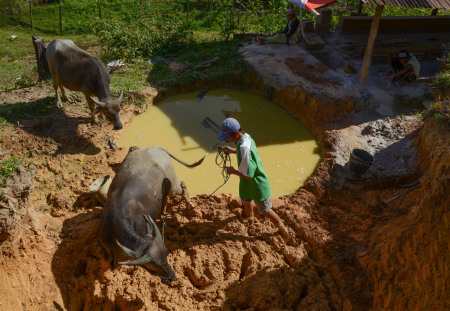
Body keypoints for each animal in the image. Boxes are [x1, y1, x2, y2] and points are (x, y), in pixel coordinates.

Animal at [100, 146, 206, 282]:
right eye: (154, 264)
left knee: (182, 186)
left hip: (173, 185)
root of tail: (156, 147)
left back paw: (189, 204)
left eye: (167, 254)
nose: (172, 275)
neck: (116, 223)